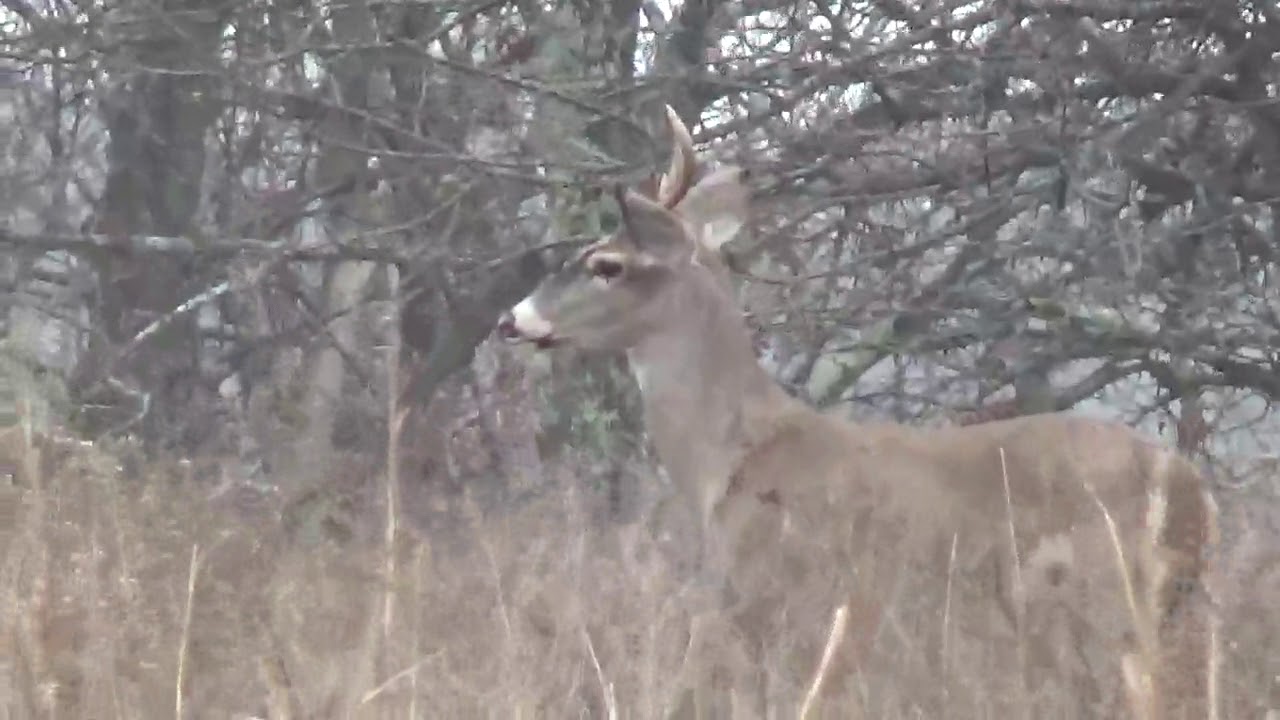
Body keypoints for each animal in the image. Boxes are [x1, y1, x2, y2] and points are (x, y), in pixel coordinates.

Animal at [496, 106, 1219, 719]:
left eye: (607, 264)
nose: (512, 319)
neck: (731, 458)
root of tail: (1189, 488)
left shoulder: (775, 596)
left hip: (1092, 600)